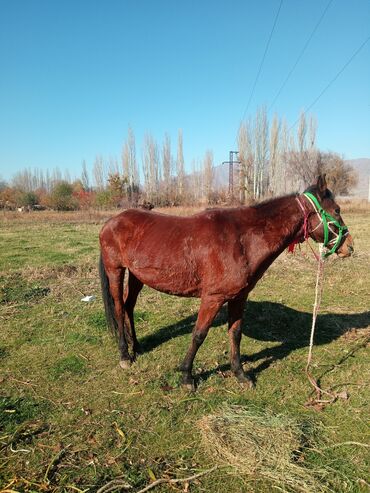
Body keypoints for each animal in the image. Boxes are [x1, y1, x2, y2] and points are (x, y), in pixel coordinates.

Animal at [98, 176, 352, 388]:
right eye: (336, 210)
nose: (349, 247)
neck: (241, 240)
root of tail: (111, 222)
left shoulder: (239, 297)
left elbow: (235, 333)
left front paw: (240, 374)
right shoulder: (213, 298)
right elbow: (198, 335)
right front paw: (187, 376)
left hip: (137, 275)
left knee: (129, 306)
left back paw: (137, 347)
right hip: (116, 270)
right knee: (119, 308)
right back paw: (125, 355)